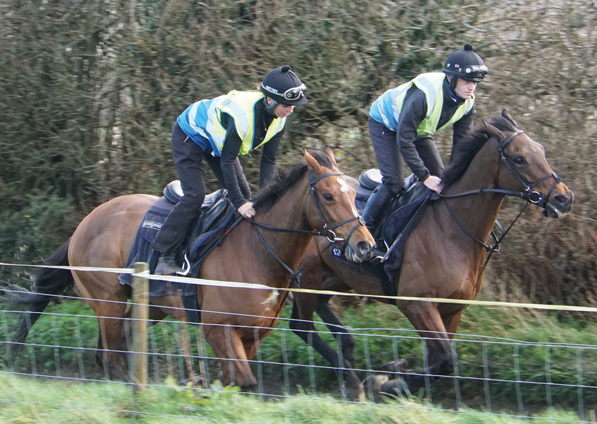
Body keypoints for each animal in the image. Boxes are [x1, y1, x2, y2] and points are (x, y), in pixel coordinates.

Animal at [7, 147, 374, 390]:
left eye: (352, 192)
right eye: (328, 196)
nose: (364, 244)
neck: (259, 250)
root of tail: (84, 225)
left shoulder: (253, 333)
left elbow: (234, 380)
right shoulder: (217, 328)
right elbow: (244, 381)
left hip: (149, 307)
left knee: (116, 347)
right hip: (108, 300)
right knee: (111, 359)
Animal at [288, 110, 572, 400]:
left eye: (541, 150)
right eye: (519, 158)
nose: (564, 198)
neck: (452, 228)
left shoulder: (453, 308)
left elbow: (438, 364)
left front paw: (393, 373)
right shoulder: (416, 304)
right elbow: (445, 359)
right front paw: (385, 382)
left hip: (336, 277)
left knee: (320, 307)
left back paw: (347, 350)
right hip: (307, 276)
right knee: (300, 324)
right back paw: (350, 376)